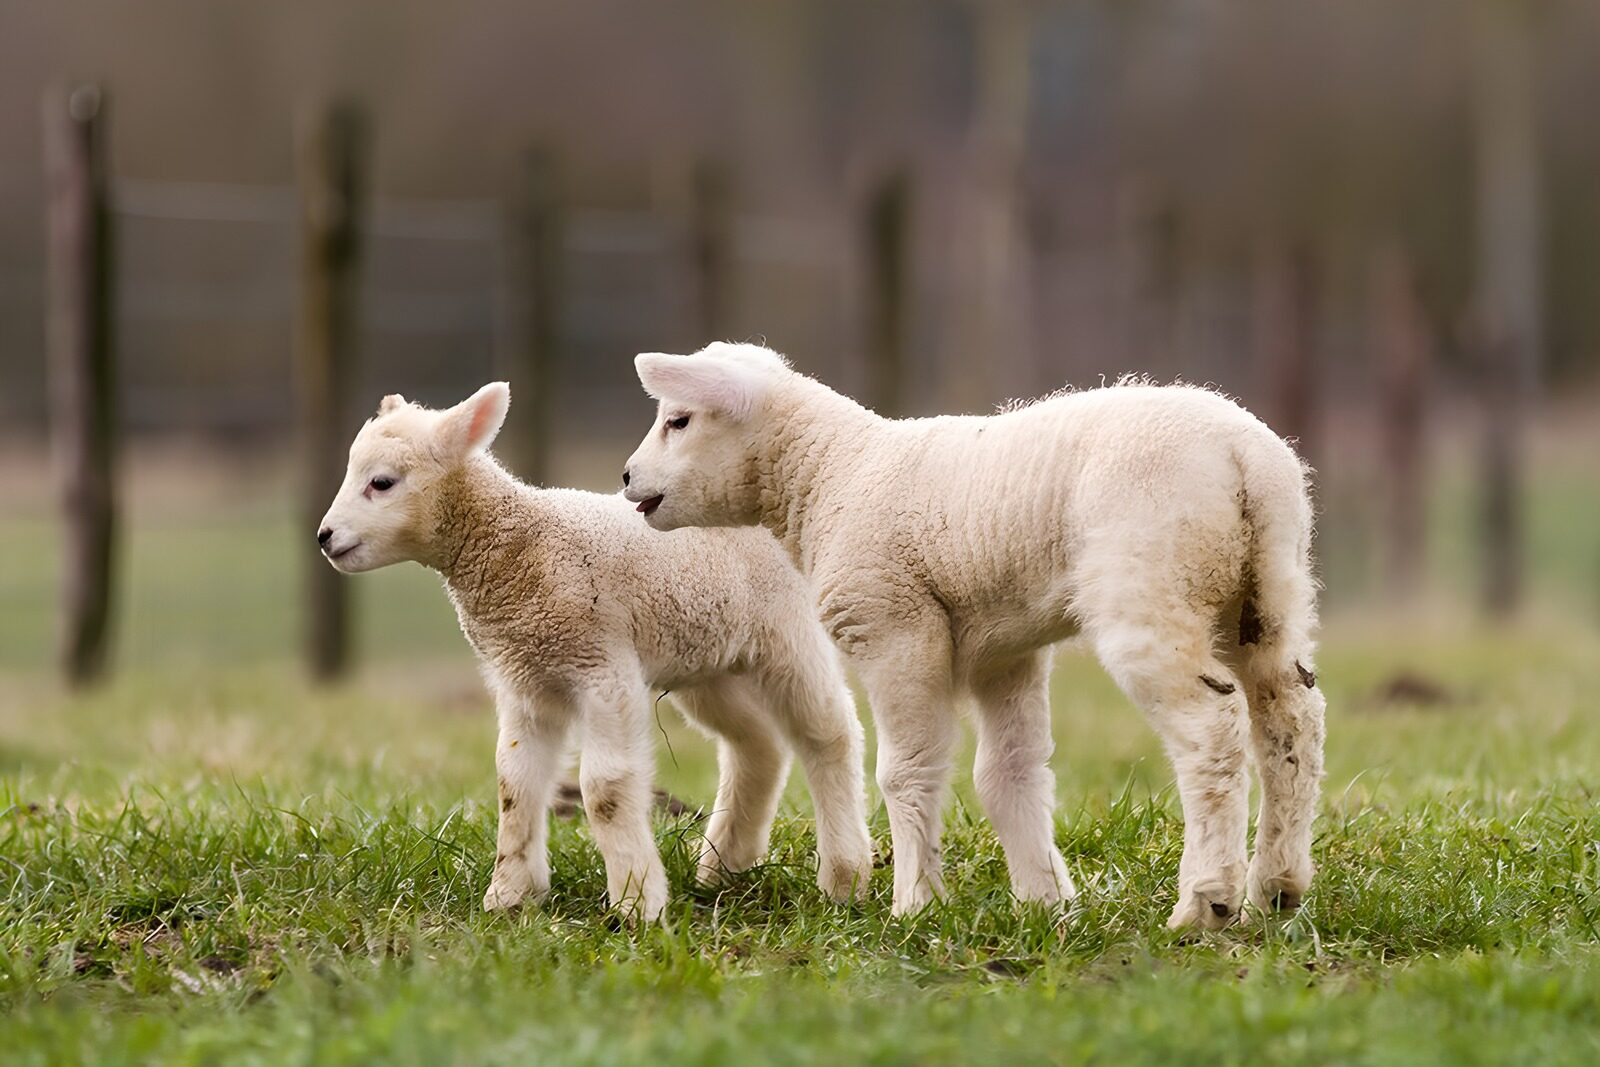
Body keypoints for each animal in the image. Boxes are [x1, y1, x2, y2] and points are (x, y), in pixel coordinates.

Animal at [317, 382, 874, 922]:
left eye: (382, 482)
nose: (324, 537)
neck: (519, 547)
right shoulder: (526, 675)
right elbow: (514, 782)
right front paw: (510, 895)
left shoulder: (601, 667)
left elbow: (605, 788)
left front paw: (635, 904)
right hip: (708, 660)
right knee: (757, 745)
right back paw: (722, 868)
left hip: (787, 635)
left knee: (828, 734)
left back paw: (844, 877)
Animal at [622, 342, 1326, 930]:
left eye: (679, 421)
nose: (628, 478)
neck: (830, 475)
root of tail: (1243, 455)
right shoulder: (1003, 649)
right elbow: (1008, 773)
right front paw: (1044, 902)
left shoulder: (894, 625)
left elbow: (906, 771)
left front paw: (914, 905)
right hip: (1268, 588)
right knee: (1292, 718)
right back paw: (1277, 888)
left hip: (1151, 585)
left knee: (1210, 728)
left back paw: (1206, 902)